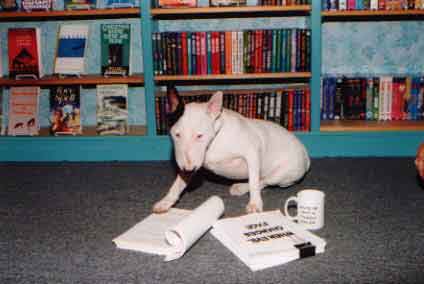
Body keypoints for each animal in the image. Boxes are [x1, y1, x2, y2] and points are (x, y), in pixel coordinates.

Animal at [153, 89, 312, 213]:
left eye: (200, 136)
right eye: (177, 135)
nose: (188, 169)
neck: (214, 140)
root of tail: (306, 156)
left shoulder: (252, 152)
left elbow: (254, 180)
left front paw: (255, 204)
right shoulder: (193, 161)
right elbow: (179, 182)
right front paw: (166, 201)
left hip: (284, 174)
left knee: (264, 180)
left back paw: (242, 187)